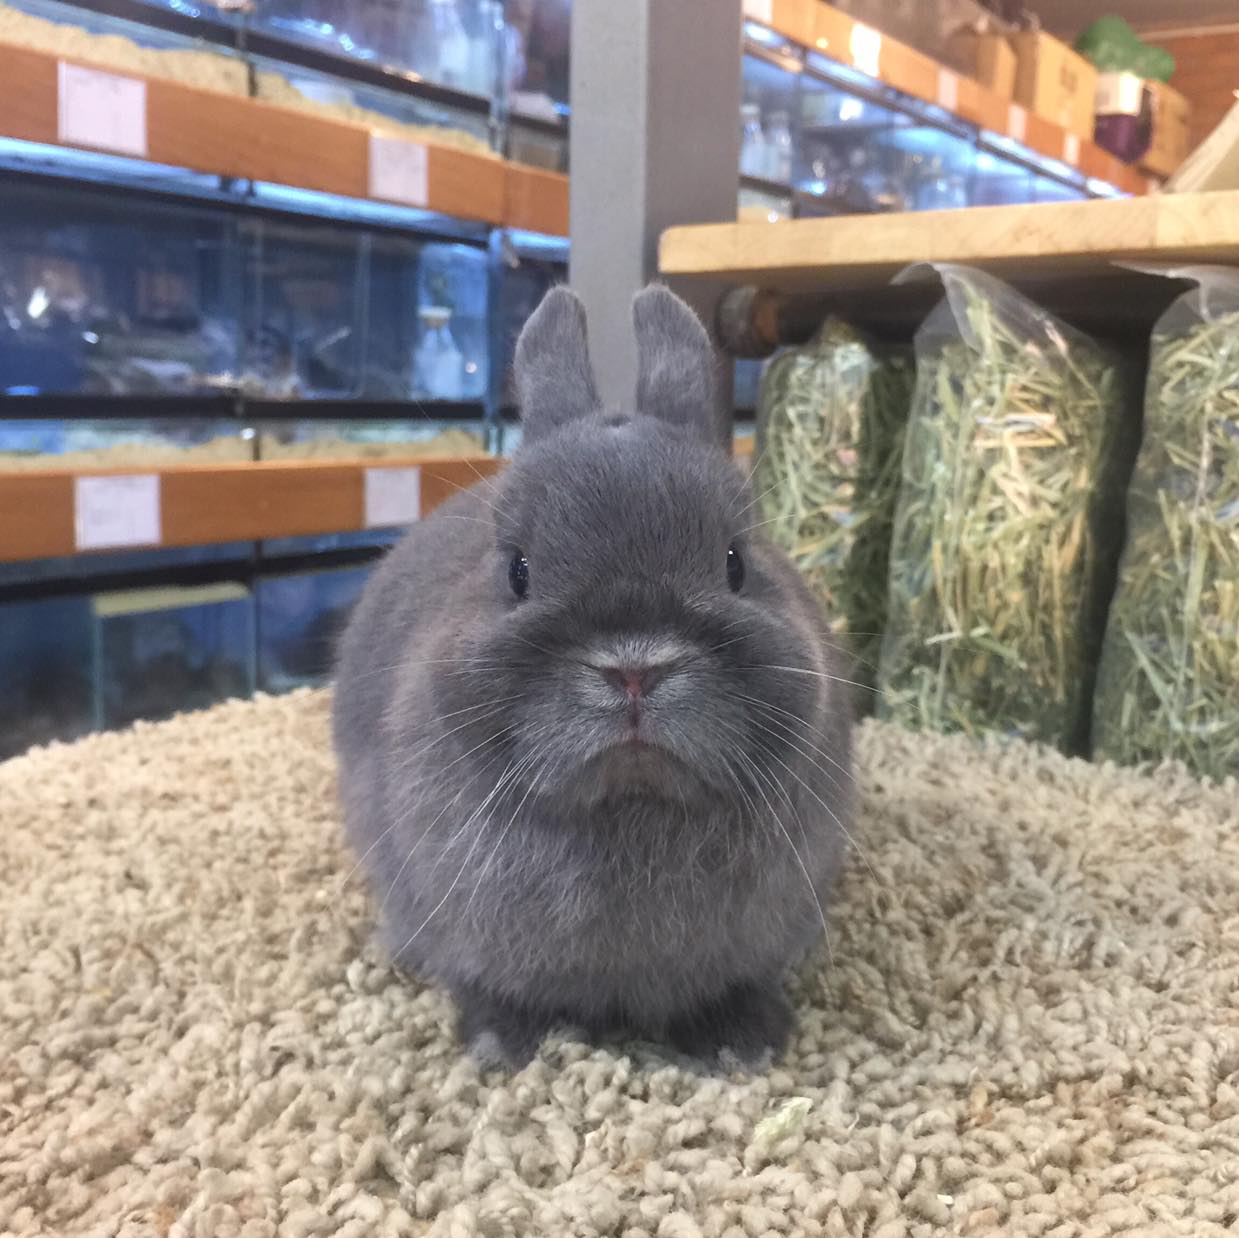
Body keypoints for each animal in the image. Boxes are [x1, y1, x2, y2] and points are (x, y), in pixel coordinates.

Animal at [332, 284, 854, 1069]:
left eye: (736, 563)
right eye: (517, 571)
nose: (634, 670)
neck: (630, 807)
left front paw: (743, 1044)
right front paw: (497, 1044)